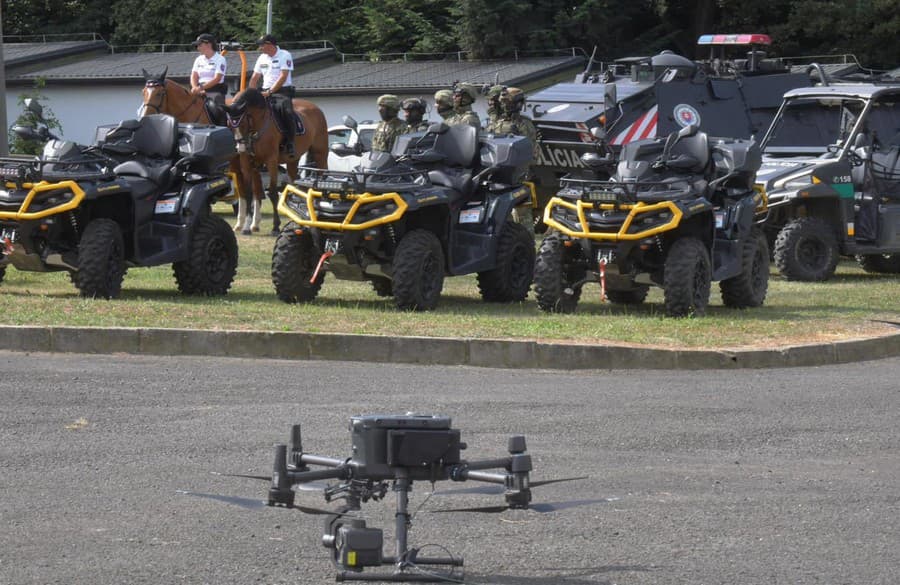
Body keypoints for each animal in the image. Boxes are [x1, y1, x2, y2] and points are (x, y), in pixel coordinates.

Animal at [224, 88, 330, 234]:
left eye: (244, 122)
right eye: (230, 125)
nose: (240, 148)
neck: (258, 124)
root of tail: (316, 108)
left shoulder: (271, 161)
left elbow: (273, 193)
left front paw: (275, 226)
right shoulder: (246, 163)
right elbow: (249, 193)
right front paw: (246, 227)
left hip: (320, 154)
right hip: (292, 161)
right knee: (295, 185)